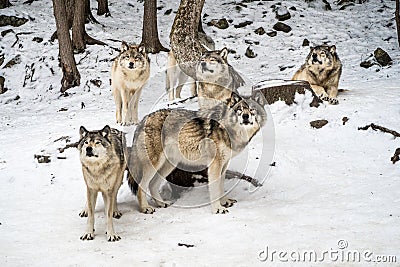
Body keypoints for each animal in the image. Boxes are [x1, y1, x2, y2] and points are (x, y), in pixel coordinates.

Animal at [126, 92, 268, 216]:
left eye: (252, 109)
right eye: (240, 109)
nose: (245, 116)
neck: (227, 128)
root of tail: (143, 120)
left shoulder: (224, 164)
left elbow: (221, 187)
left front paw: (224, 202)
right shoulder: (215, 165)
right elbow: (214, 190)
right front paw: (217, 209)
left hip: (169, 165)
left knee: (152, 185)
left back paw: (162, 203)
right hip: (154, 164)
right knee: (141, 186)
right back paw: (145, 208)